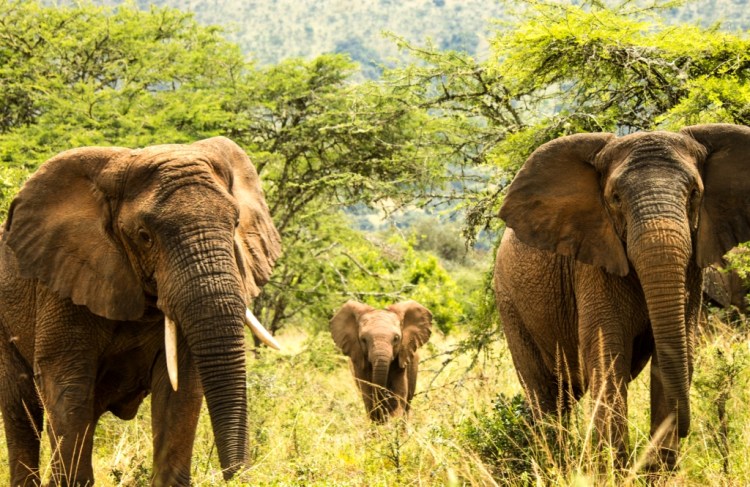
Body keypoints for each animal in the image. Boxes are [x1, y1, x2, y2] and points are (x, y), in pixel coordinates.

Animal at [0, 137, 282, 486]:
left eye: (235, 224)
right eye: (145, 237)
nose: (237, 474)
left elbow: (180, 387)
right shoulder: (61, 281)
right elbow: (66, 384)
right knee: (20, 408)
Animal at [493, 123, 750, 469]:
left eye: (695, 193)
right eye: (615, 198)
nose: (686, 429)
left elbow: (676, 352)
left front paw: (657, 470)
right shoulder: (593, 263)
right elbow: (608, 355)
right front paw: (612, 470)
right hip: (510, 306)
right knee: (547, 396)